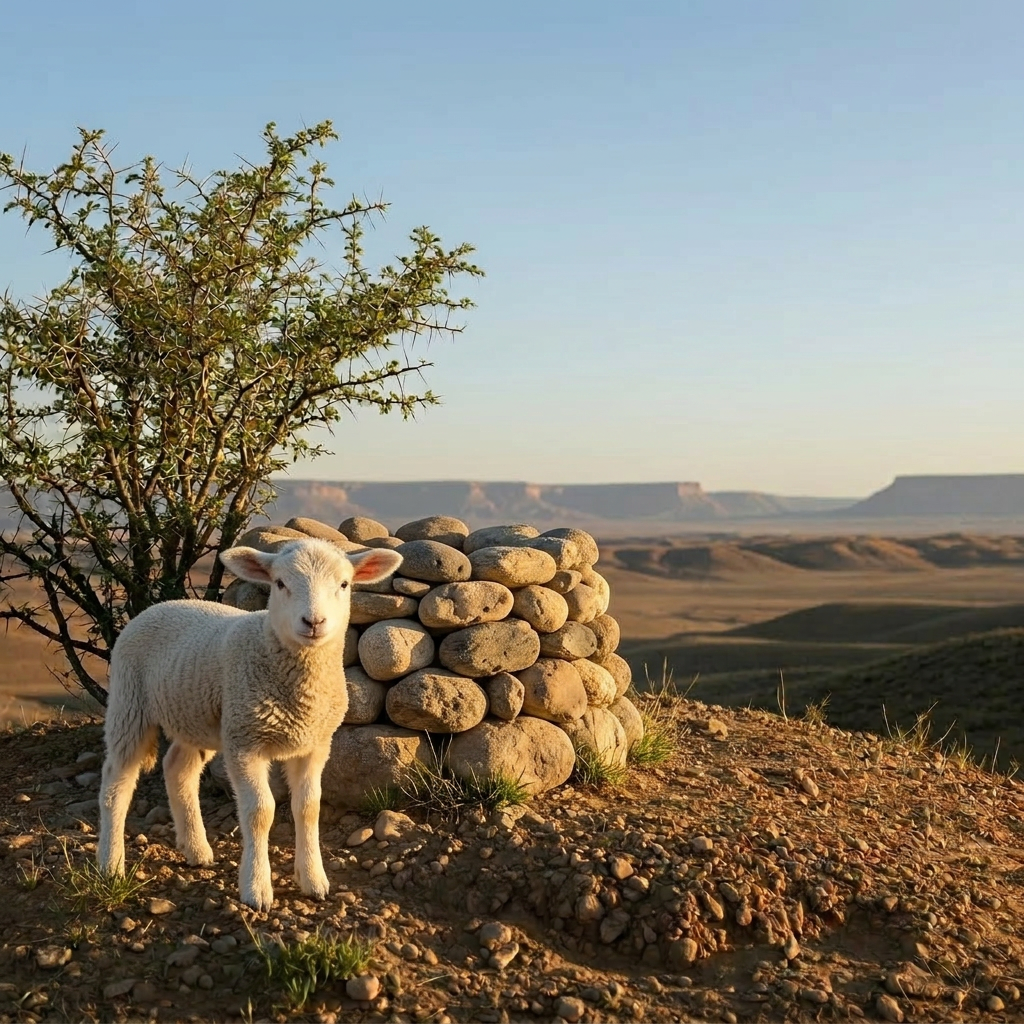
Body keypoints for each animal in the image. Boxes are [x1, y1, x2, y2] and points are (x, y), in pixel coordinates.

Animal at [97, 538, 402, 911]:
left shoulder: (315, 744)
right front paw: (257, 889)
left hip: (197, 715)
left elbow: (309, 808)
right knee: (117, 783)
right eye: (280, 584)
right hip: (130, 702)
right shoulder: (246, 742)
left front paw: (313, 880)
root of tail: (160, 606)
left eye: (344, 584)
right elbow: (260, 811)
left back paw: (196, 849)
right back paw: (111, 866)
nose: (313, 621)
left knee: (178, 768)